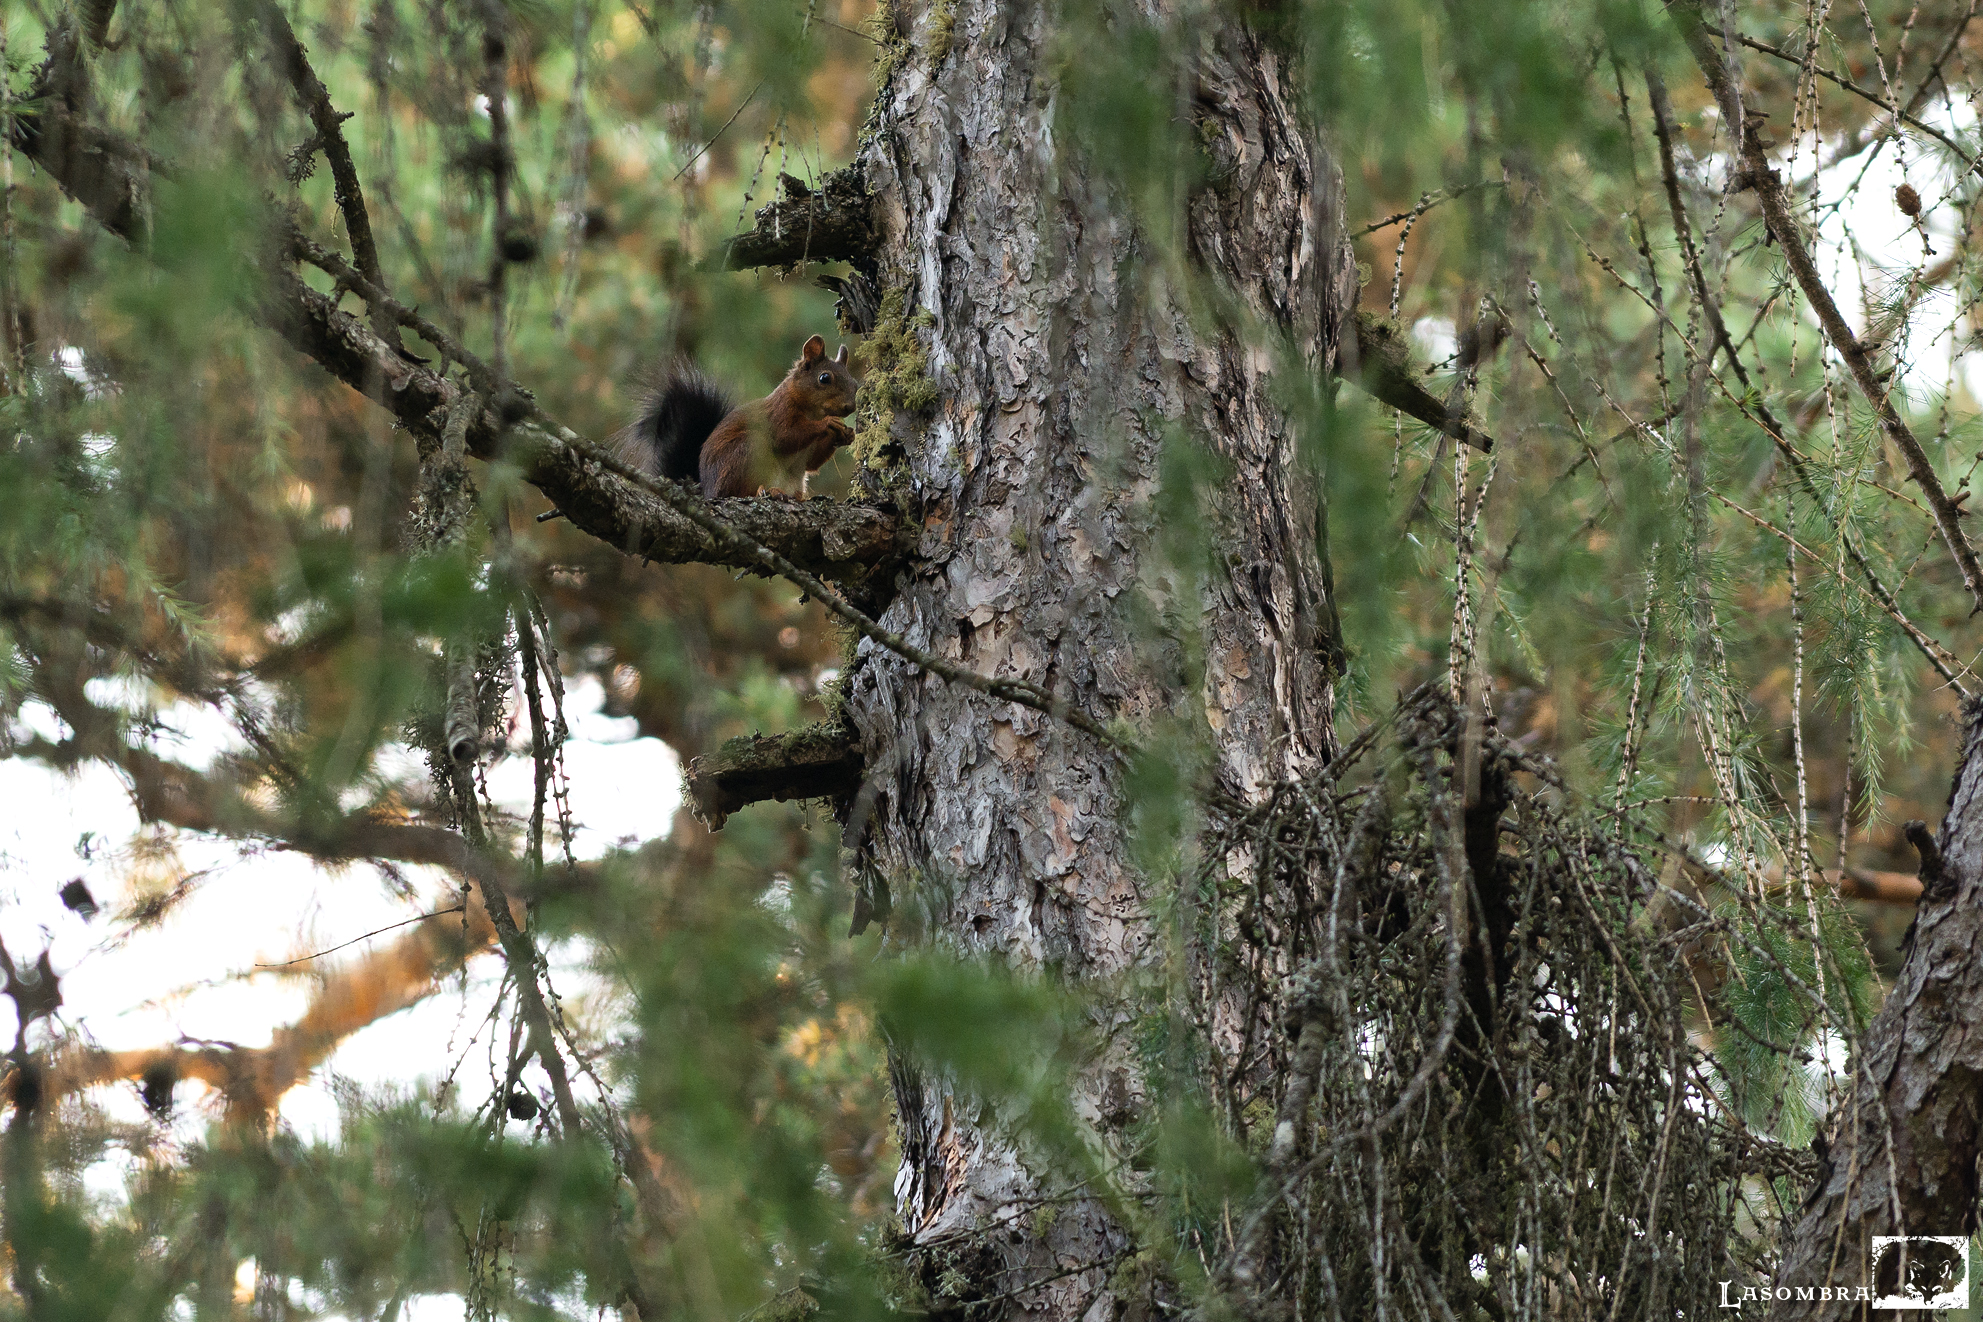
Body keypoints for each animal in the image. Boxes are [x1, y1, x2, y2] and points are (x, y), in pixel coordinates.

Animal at [626, 335, 862, 499]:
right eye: (824, 378)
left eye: (855, 383)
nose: (850, 406)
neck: (813, 411)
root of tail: (707, 491)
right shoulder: (778, 413)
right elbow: (785, 436)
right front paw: (828, 423)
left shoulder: (808, 454)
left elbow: (812, 464)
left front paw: (847, 435)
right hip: (743, 453)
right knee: (734, 493)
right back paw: (766, 492)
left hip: (793, 479)